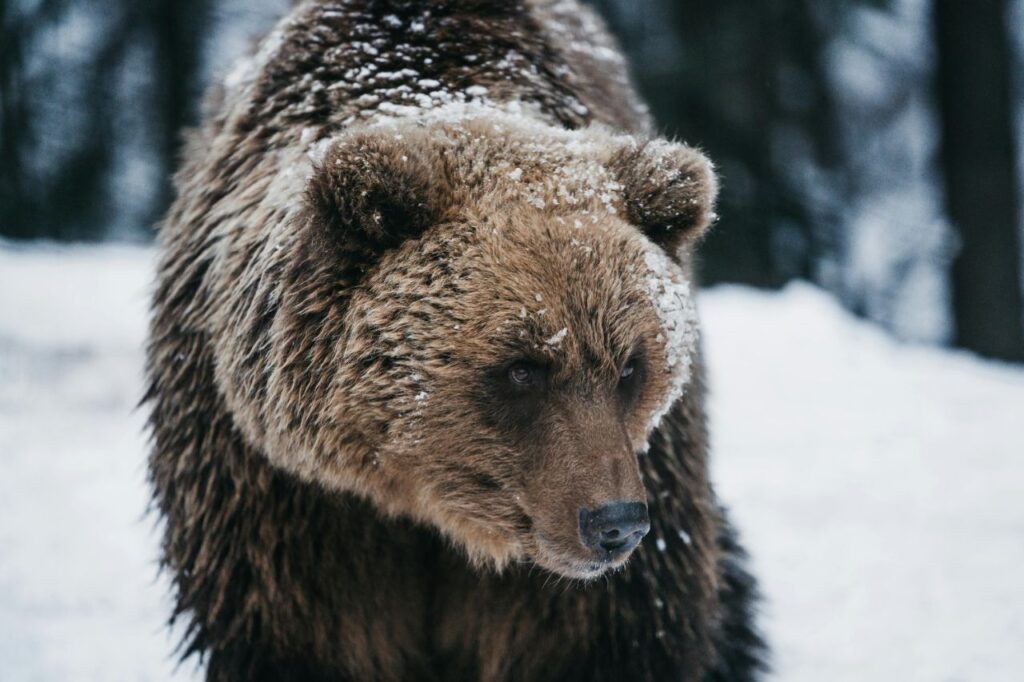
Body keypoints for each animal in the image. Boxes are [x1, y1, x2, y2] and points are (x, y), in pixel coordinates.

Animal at [145, 1, 767, 680]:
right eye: (522, 367)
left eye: (630, 367)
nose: (614, 524)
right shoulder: (279, 495)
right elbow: (302, 635)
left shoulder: (615, 527)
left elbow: (604, 635)